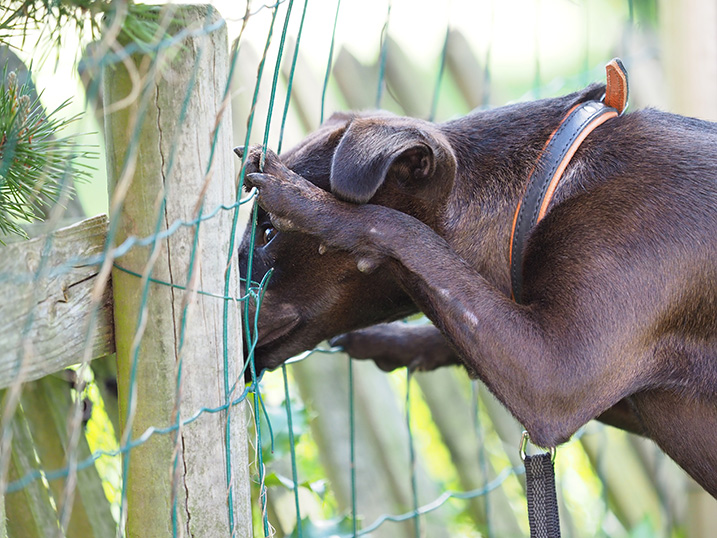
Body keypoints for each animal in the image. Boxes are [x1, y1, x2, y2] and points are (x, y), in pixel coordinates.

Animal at [236, 82, 716, 494]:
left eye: (268, 233)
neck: (547, 183)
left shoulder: (555, 374)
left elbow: (399, 229)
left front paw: (313, 207)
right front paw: (394, 341)